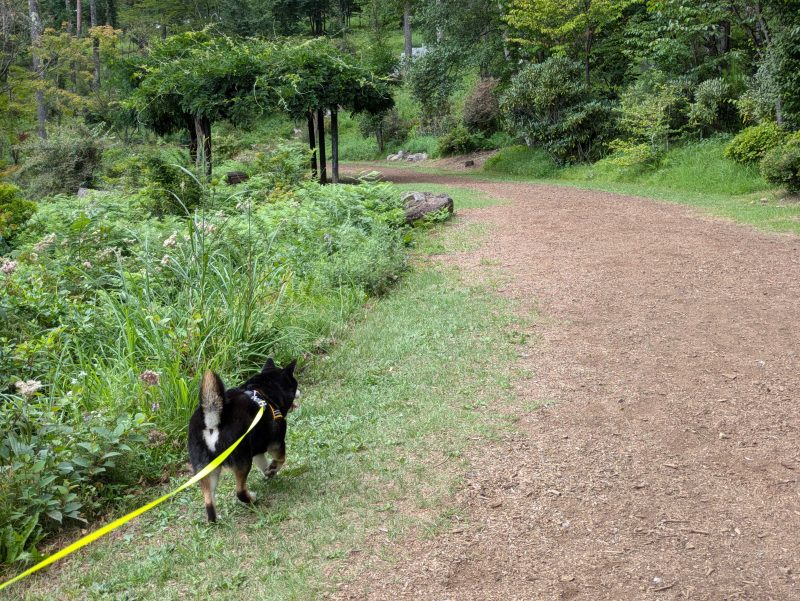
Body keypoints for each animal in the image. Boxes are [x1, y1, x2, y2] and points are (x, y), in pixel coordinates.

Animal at [188, 356, 300, 520]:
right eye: (295, 383)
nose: (300, 391)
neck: (263, 390)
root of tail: (213, 422)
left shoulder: (258, 449)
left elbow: (263, 463)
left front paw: (269, 472)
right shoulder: (276, 443)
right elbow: (280, 459)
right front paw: (273, 468)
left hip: (206, 467)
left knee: (208, 500)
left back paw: (215, 518)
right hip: (242, 460)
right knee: (240, 491)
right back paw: (251, 498)